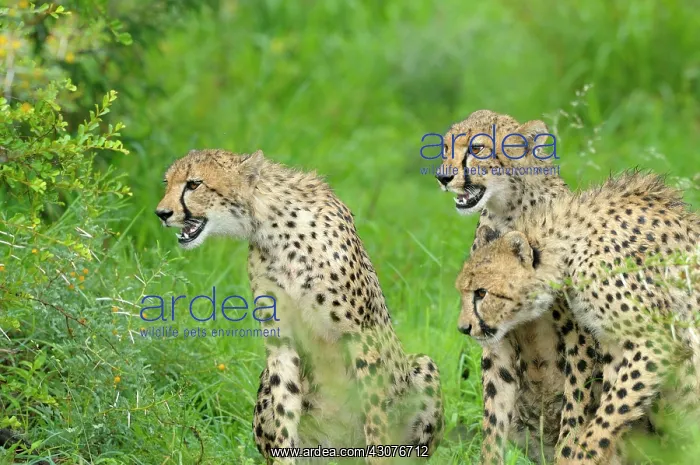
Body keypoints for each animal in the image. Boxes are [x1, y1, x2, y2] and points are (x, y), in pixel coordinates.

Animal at [155, 149, 444, 463]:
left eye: (194, 184)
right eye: (167, 183)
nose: (161, 213)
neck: (272, 228)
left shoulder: (361, 336)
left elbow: (375, 418)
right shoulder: (280, 340)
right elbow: (285, 409)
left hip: (423, 366)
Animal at [435, 109, 607, 464]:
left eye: (478, 148)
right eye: (445, 148)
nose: (443, 177)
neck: (512, 214)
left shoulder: (579, 333)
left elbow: (575, 409)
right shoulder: (494, 333)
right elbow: (494, 415)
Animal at [456, 170, 700, 464]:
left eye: (482, 292)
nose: (464, 328)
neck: (567, 243)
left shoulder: (657, 341)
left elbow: (607, 414)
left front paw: (580, 456)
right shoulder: (615, 345)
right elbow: (612, 411)